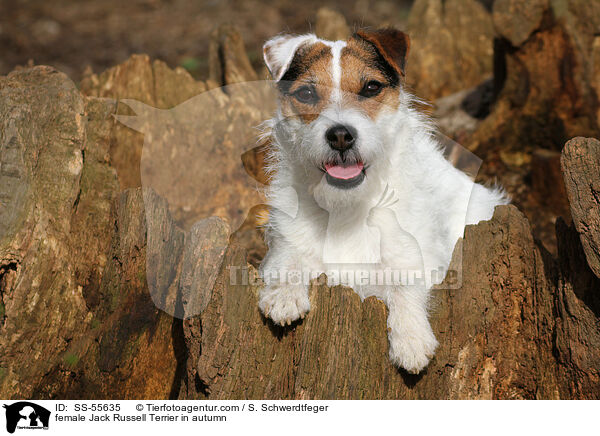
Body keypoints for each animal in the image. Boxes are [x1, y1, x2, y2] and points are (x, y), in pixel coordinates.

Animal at [258, 28, 506, 374]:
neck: (347, 206)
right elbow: (287, 258)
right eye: (306, 94)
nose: (340, 135)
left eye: (371, 87)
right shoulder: (287, 241)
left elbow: (406, 281)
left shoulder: (415, 257)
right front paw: (283, 294)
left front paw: (411, 338)